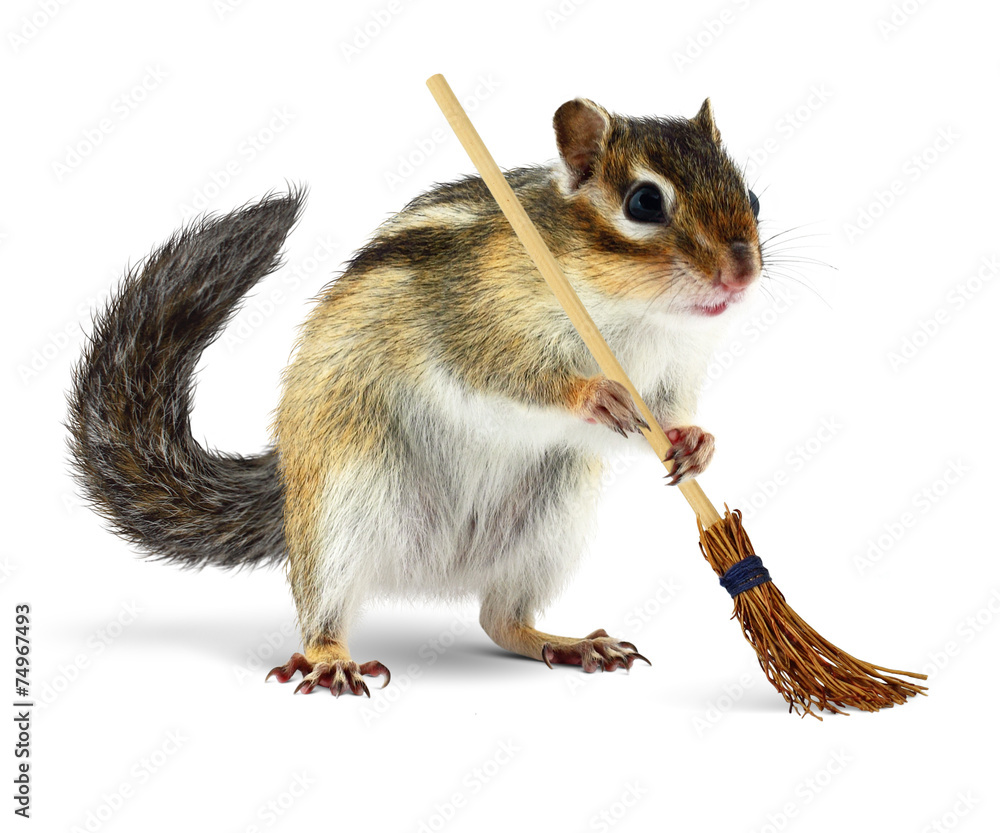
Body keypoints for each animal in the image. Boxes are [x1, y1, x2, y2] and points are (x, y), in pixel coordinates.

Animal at [68, 96, 762, 697]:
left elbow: (665, 418)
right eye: (644, 202)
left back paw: (568, 643)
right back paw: (331, 659)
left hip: (551, 526)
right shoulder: (475, 321)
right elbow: (507, 374)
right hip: (339, 507)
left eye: (751, 195)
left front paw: (695, 444)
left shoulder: (674, 373)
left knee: (500, 620)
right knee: (323, 608)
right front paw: (594, 394)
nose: (743, 272)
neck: (640, 316)